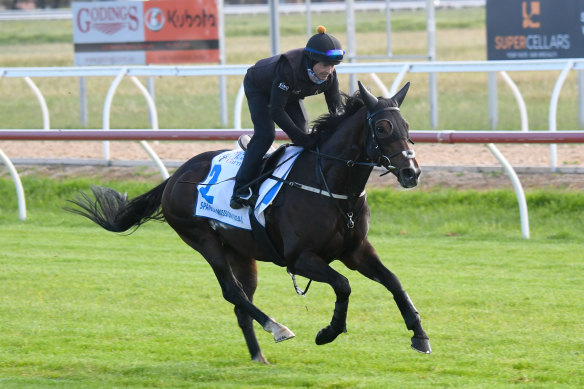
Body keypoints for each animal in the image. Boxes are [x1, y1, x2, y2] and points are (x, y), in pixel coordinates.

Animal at [69, 80, 434, 362]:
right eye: (383, 127)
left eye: (408, 127)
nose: (411, 172)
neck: (332, 186)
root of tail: (174, 177)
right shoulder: (300, 258)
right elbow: (343, 284)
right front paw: (328, 332)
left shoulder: (355, 251)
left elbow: (394, 282)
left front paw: (419, 335)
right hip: (203, 239)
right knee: (232, 292)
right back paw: (278, 328)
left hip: (241, 252)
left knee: (242, 300)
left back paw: (259, 355)